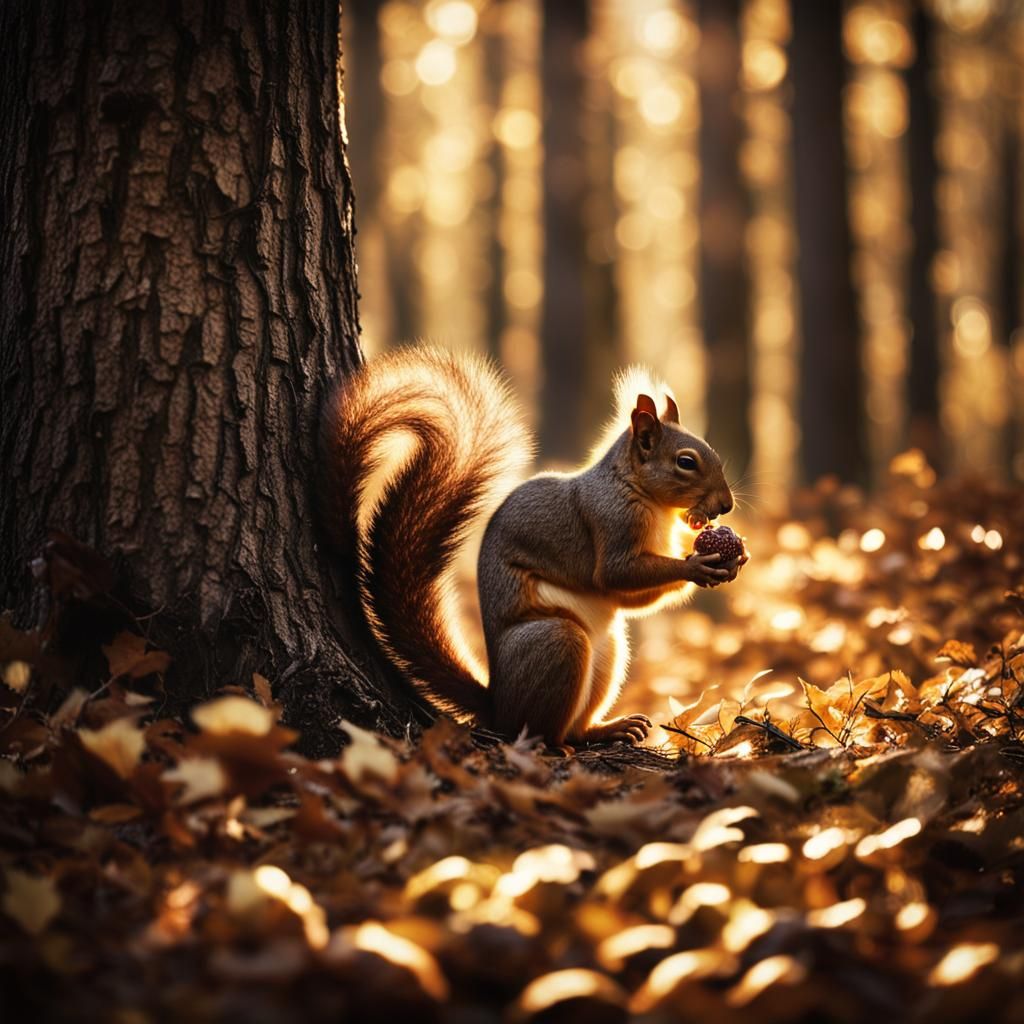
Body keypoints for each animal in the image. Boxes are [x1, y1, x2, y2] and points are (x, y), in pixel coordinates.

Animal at [321, 346, 744, 749]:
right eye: (685, 462)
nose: (726, 505)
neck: (644, 496)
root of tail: (498, 703)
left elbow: (631, 600)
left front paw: (734, 559)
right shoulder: (613, 524)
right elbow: (615, 574)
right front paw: (695, 566)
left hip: (608, 653)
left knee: (576, 726)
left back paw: (606, 729)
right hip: (556, 643)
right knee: (539, 730)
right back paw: (556, 745)